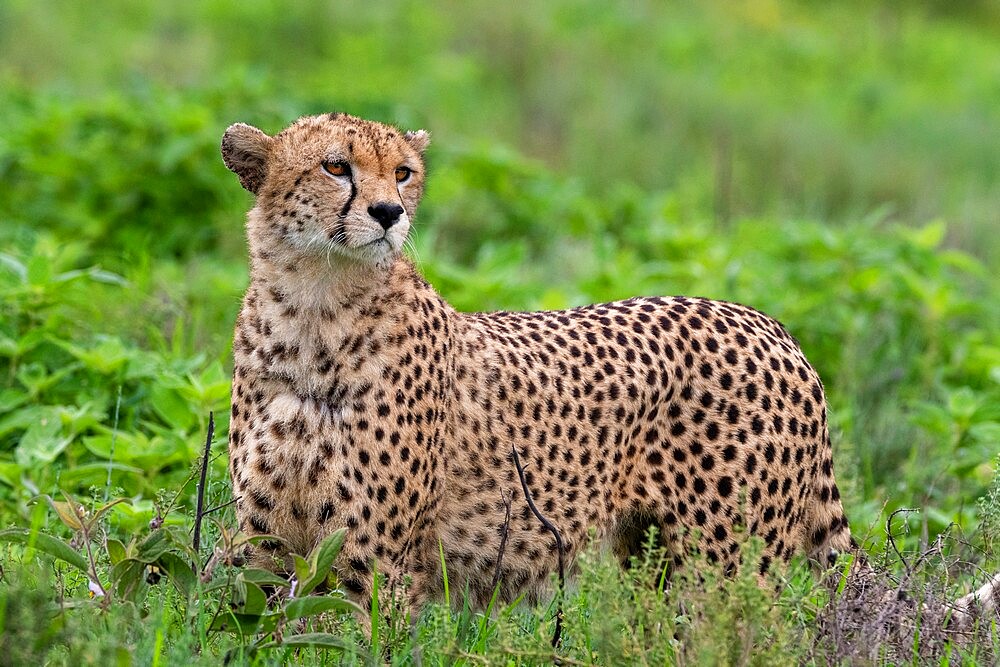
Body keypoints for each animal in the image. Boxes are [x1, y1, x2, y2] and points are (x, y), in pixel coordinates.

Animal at [223, 113, 996, 620]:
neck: (315, 310)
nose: (388, 212)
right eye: (336, 166)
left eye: (403, 173)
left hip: (726, 568)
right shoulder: (261, 544)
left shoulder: (377, 562)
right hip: (652, 554)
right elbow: (241, 624)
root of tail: (774, 327)